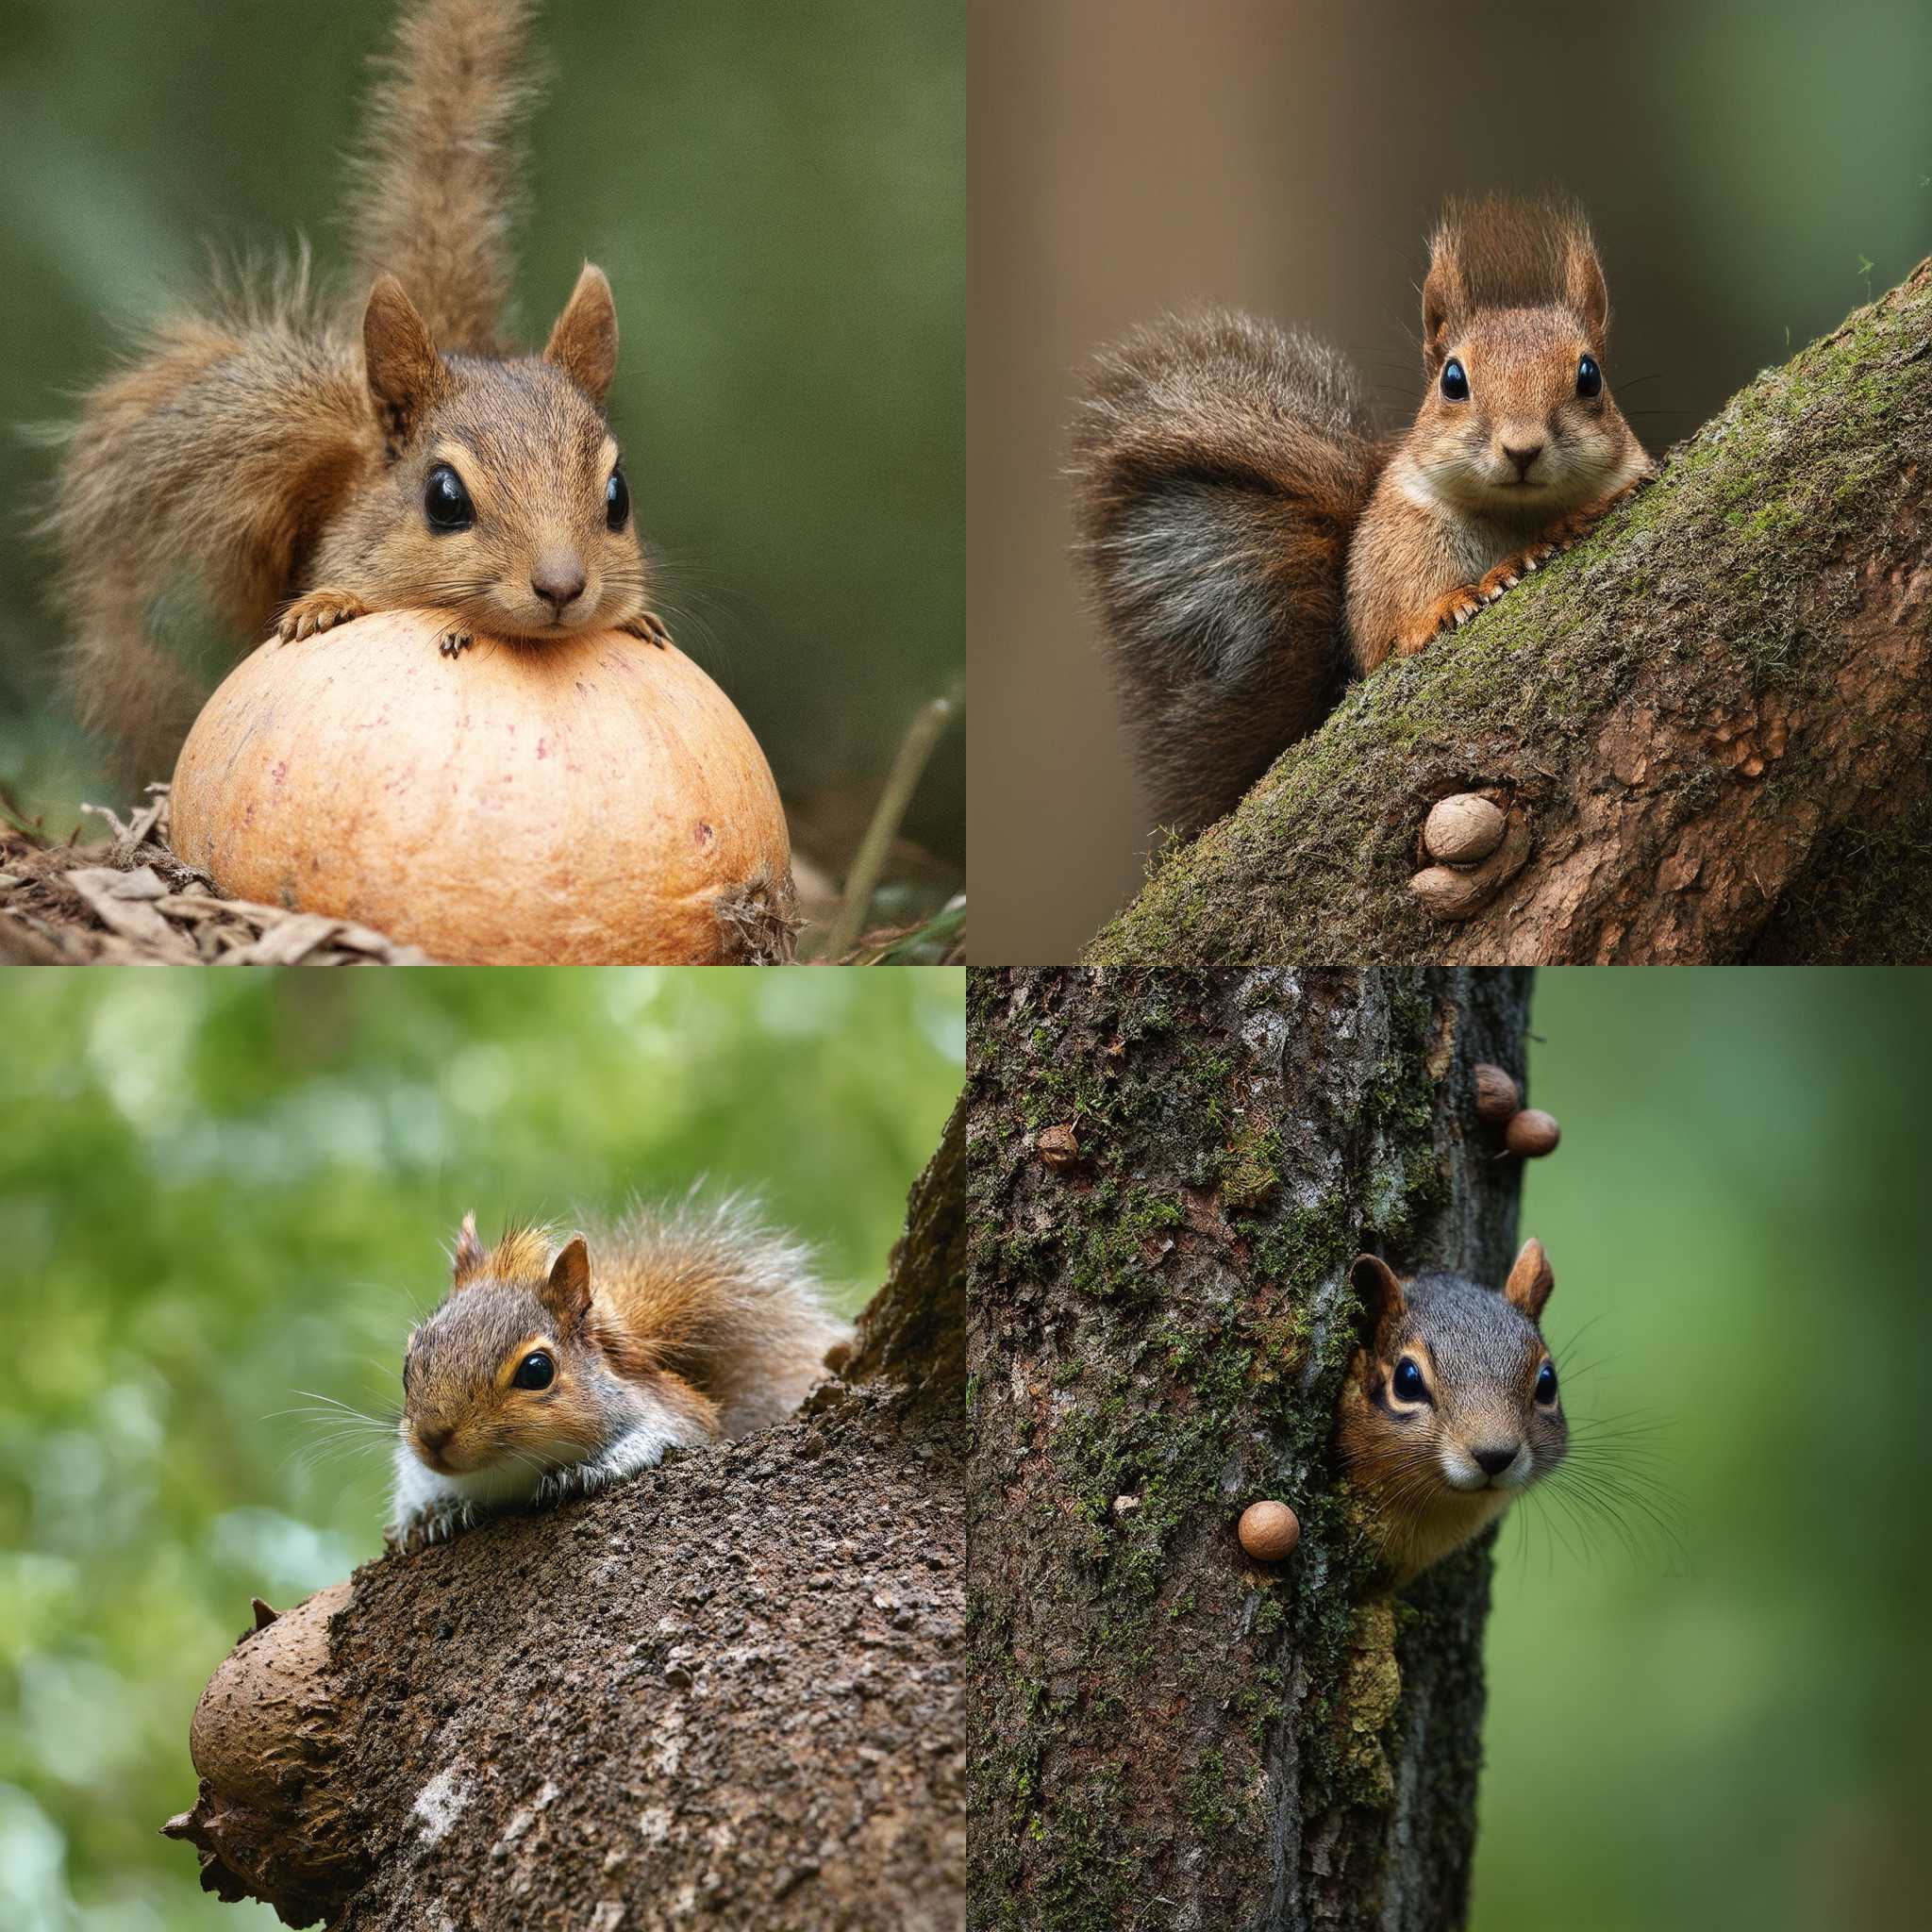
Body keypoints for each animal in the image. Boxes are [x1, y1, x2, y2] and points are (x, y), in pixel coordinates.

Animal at [388, 1197, 850, 1545]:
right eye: (408, 1360)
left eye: (537, 1371)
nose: (432, 1437)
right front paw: (435, 1514)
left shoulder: (671, 1415)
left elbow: (661, 1440)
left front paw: (583, 1473)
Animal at [1074, 199, 1645, 834]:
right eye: (1452, 380)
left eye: (1590, 376)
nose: (1522, 450)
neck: (1518, 516)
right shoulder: (1397, 547)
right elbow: (1391, 631)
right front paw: (1463, 596)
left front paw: (1581, 517)